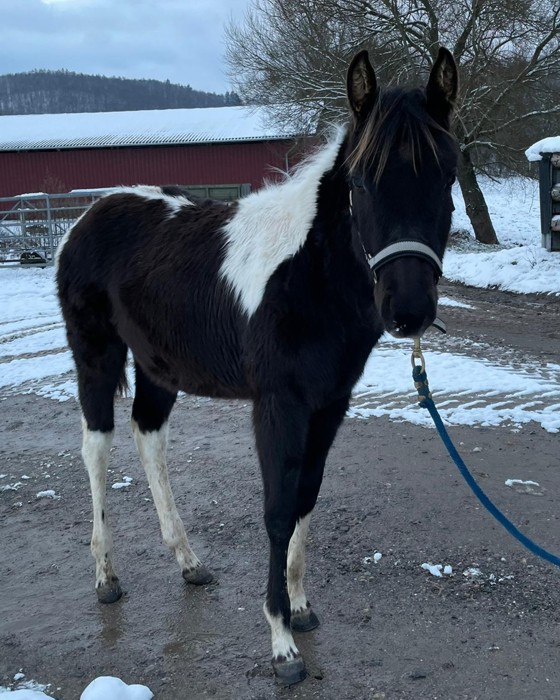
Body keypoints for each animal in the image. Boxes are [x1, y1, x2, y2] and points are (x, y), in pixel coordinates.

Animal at [56, 48, 458, 685]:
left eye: (447, 176)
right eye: (361, 182)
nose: (409, 309)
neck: (308, 276)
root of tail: (88, 215)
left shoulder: (328, 405)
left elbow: (305, 498)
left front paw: (300, 607)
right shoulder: (279, 405)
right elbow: (276, 510)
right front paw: (281, 643)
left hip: (158, 367)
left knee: (150, 438)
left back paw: (188, 561)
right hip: (95, 355)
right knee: (96, 448)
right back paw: (106, 576)